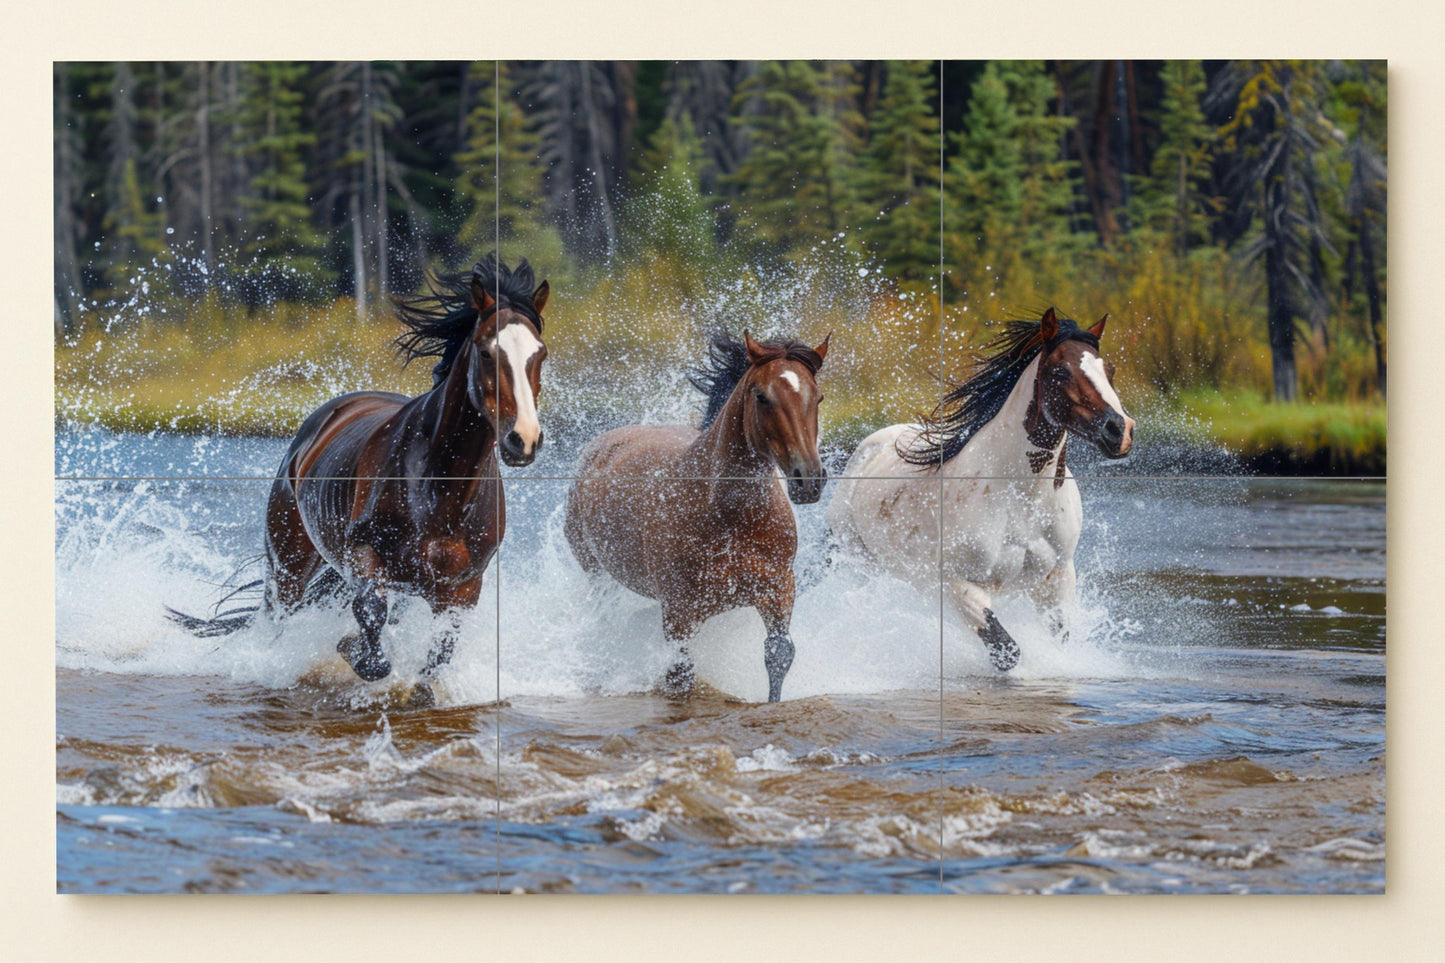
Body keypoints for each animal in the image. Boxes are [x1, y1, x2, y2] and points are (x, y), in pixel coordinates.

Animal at [168, 254, 550, 697]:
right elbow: (370, 620)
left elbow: (439, 652)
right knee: (278, 615)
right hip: (288, 562)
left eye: (540, 354)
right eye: (487, 352)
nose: (523, 439)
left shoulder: (463, 587)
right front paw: (354, 652)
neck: (440, 487)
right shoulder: (364, 554)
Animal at [563, 331, 829, 703]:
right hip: (597, 576)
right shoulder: (680, 611)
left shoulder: (778, 590)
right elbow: (680, 675)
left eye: (817, 397)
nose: (809, 480)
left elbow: (778, 655)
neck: (729, 516)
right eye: (762, 396)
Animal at [826, 307, 1134, 671]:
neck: (1020, 498)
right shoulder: (956, 584)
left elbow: (1058, 640)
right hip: (858, 562)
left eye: (1109, 370)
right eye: (1060, 371)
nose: (1119, 430)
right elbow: (1007, 651)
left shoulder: (1057, 578)